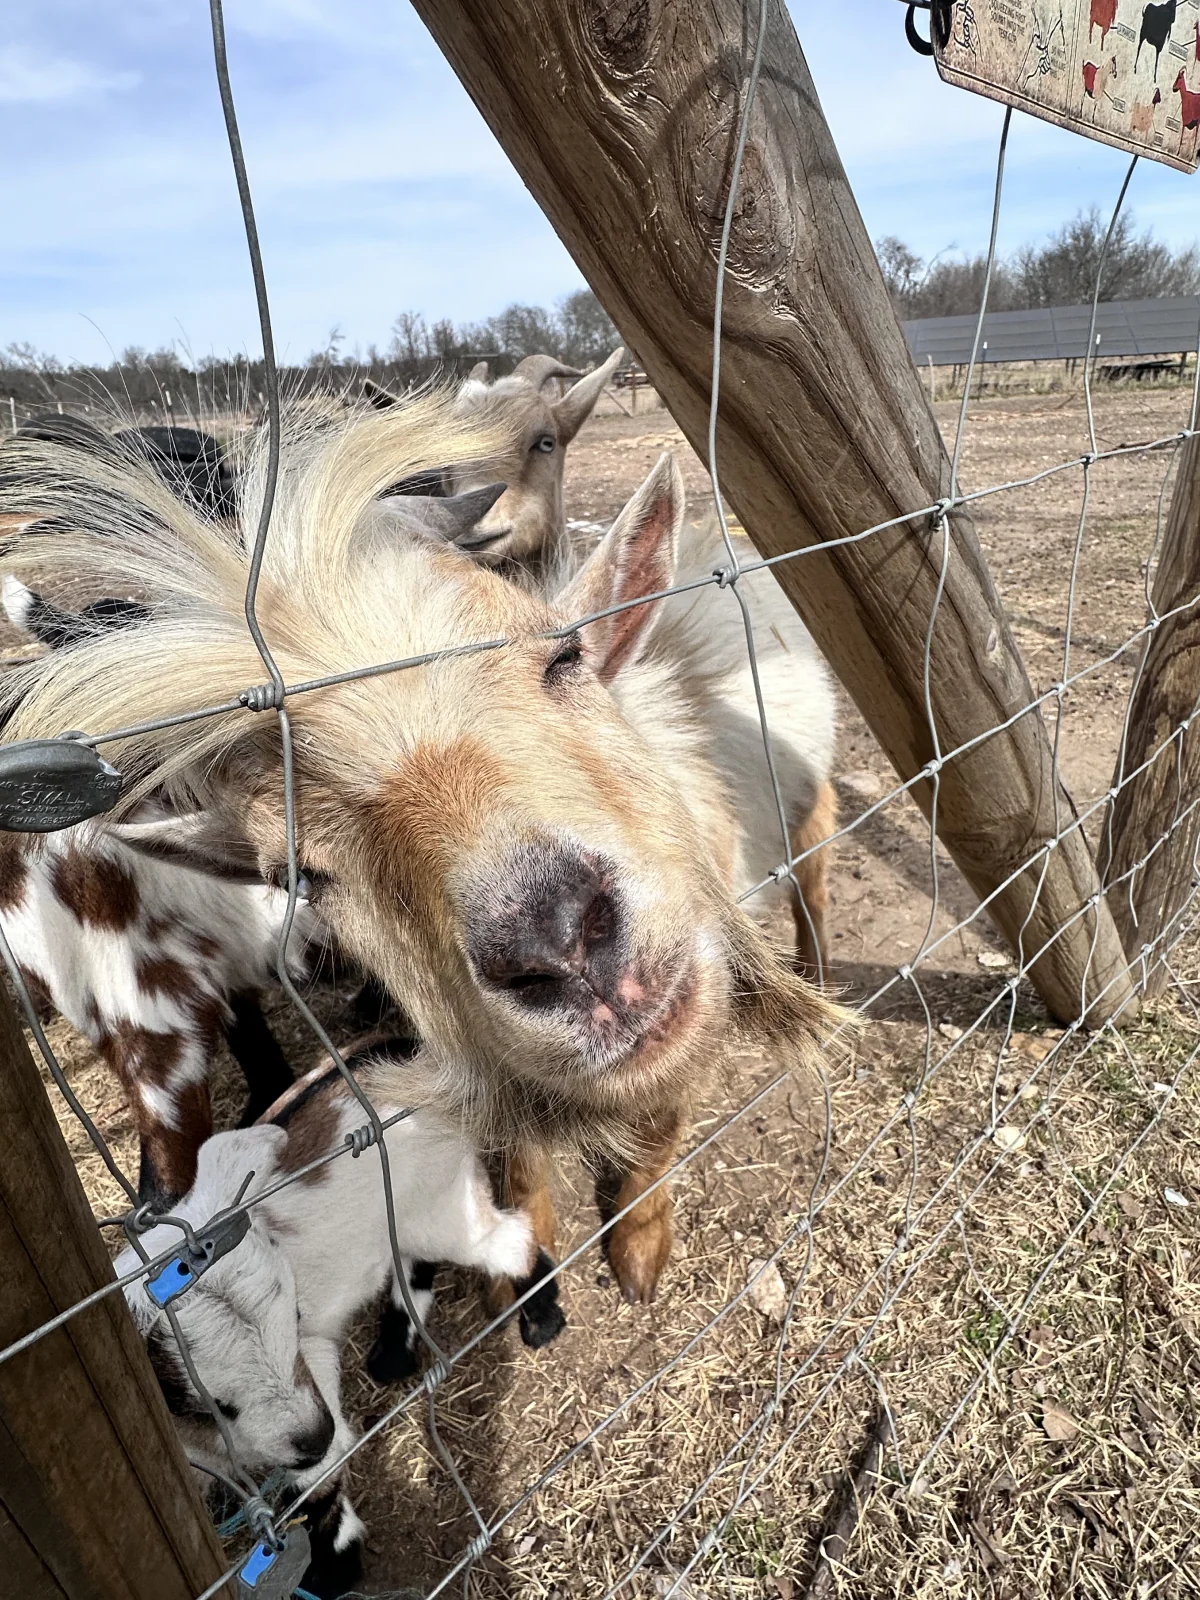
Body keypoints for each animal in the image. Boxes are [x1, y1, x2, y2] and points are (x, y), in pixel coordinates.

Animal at [0, 395, 840, 1309]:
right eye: (299, 873)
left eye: (565, 655)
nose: (561, 944)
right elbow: (522, 1154)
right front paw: (531, 1260)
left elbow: (663, 1123)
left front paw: (640, 1245)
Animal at [116, 1105, 535, 1598]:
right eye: (200, 1405)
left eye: (296, 1316)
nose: (315, 1436)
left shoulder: (313, 1359)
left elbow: (318, 1480)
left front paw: (336, 1563)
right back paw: (395, 1353)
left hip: (446, 1213)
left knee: (514, 1242)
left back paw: (542, 1317)